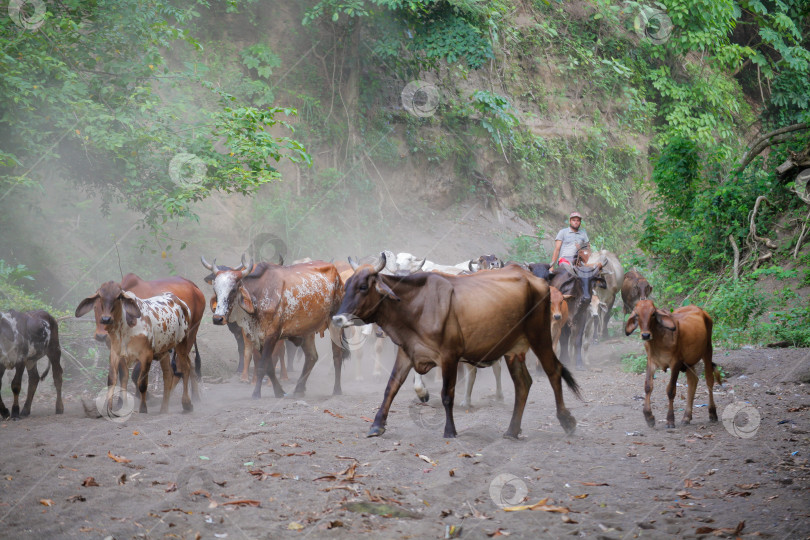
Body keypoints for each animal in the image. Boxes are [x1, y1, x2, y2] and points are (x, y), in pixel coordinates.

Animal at [330, 253, 580, 438]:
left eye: (363, 287)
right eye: (347, 285)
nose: (338, 319)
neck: (416, 305)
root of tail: (536, 281)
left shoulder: (449, 356)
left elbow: (447, 394)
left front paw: (450, 430)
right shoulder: (407, 352)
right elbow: (391, 387)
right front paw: (377, 424)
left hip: (540, 337)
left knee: (553, 371)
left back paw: (566, 421)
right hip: (513, 349)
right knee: (523, 383)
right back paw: (512, 430)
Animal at [620, 300, 716, 430]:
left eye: (653, 314)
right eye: (637, 315)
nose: (645, 335)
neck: (658, 341)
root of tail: (701, 310)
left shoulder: (675, 363)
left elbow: (671, 390)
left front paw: (670, 420)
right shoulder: (651, 362)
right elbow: (648, 387)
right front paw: (649, 417)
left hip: (708, 349)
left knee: (709, 380)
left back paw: (712, 413)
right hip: (689, 361)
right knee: (693, 381)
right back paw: (686, 417)